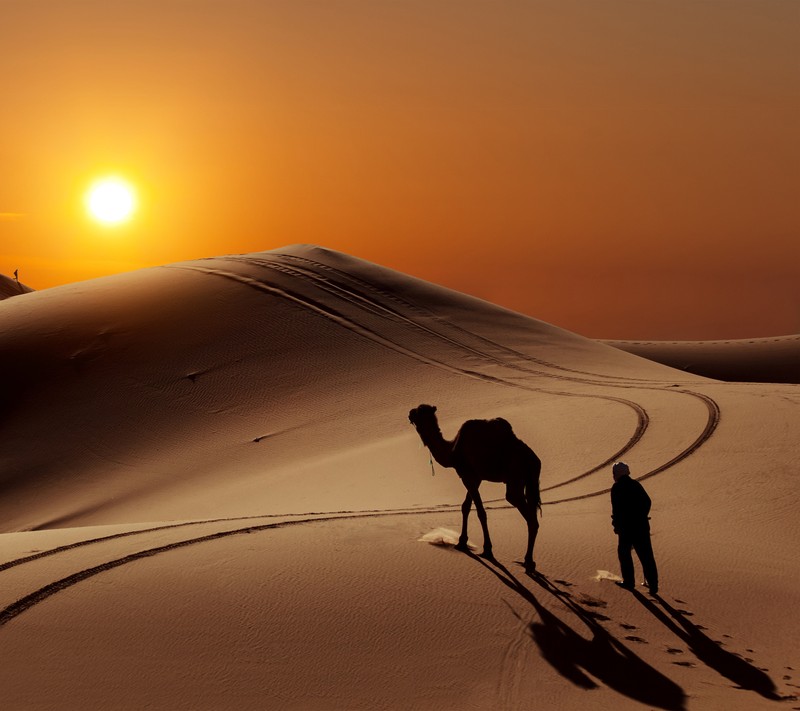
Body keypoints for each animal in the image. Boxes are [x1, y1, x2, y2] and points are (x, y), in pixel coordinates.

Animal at [410, 404, 540, 576]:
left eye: (418, 412)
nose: (409, 413)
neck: (453, 450)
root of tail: (534, 461)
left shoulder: (467, 475)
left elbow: (480, 512)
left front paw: (487, 550)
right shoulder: (475, 477)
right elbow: (465, 507)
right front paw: (461, 542)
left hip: (515, 479)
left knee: (529, 517)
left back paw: (528, 562)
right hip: (530, 483)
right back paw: (529, 562)